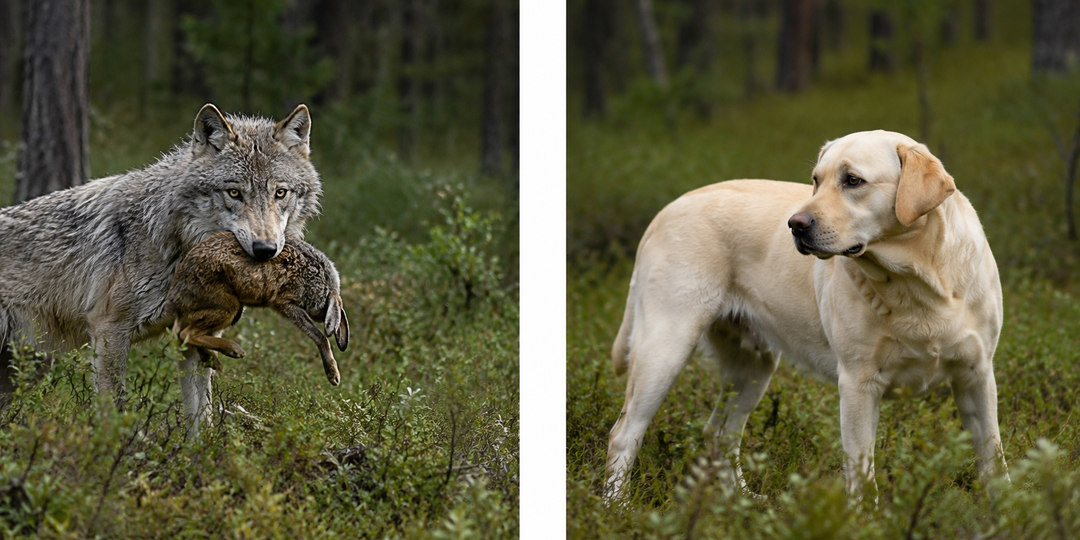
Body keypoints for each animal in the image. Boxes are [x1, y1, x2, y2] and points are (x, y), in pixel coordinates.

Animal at [0, 103, 323, 435]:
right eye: (234, 193)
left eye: (280, 193)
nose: (265, 249)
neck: (177, 246)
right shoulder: (109, 330)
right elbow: (113, 416)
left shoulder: (199, 335)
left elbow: (202, 420)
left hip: (31, 366)